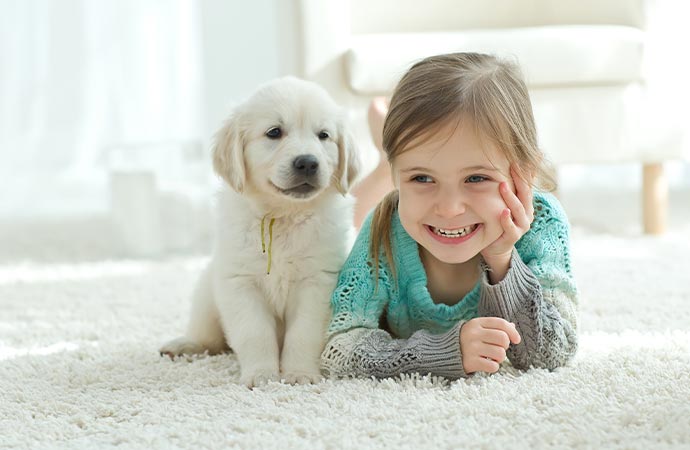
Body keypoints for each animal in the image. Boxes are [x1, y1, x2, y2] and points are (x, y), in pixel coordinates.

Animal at [160, 76, 360, 386]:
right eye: (274, 132)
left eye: (323, 135)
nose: (308, 162)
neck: (282, 215)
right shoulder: (240, 282)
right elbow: (254, 333)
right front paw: (262, 374)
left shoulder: (318, 282)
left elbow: (303, 333)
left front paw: (299, 373)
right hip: (206, 296)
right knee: (208, 338)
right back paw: (184, 345)